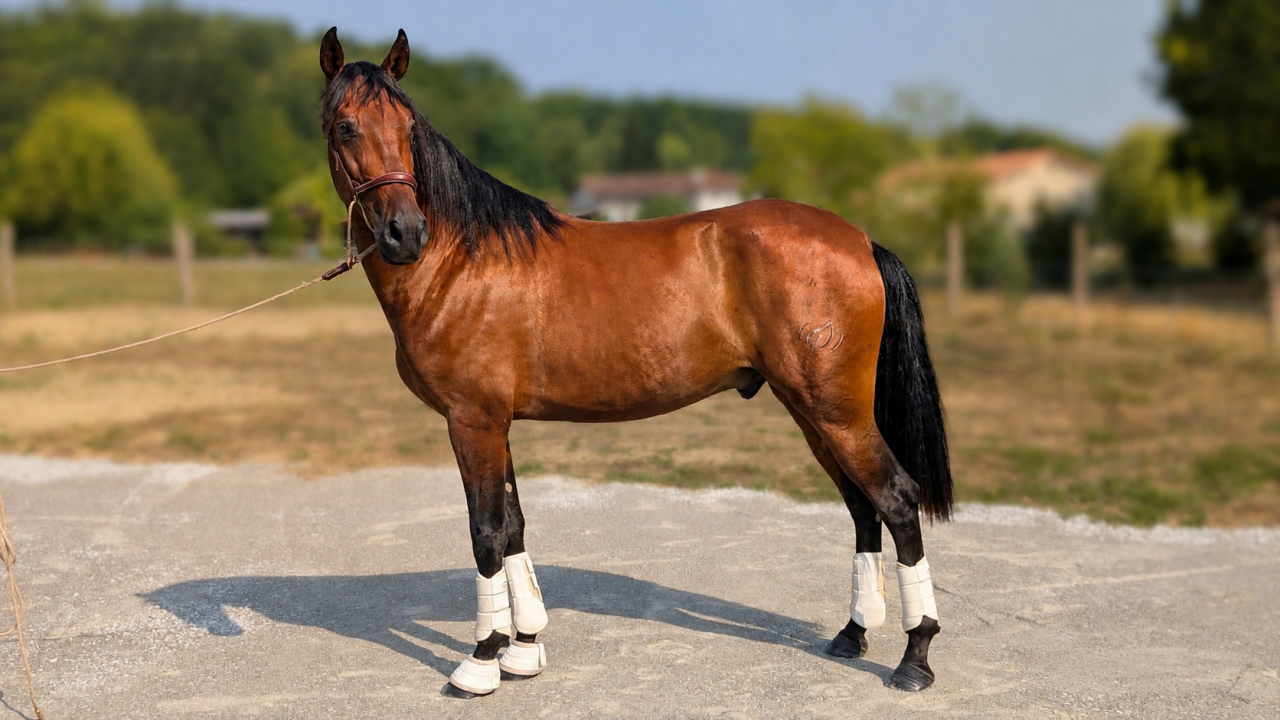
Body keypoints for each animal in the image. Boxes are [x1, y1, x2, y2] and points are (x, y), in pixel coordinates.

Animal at [317, 28, 953, 699]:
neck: (459, 259)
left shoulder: (472, 421)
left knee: (896, 499)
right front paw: (524, 649)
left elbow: (485, 532)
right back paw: (852, 634)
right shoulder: (495, 423)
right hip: (813, 411)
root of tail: (860, 240)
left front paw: (481, 661)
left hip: (837, 412)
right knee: (862, 505)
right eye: (345, 127)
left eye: (407, 125)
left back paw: (915, 658)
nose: (404, 233)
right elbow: (514, 524)